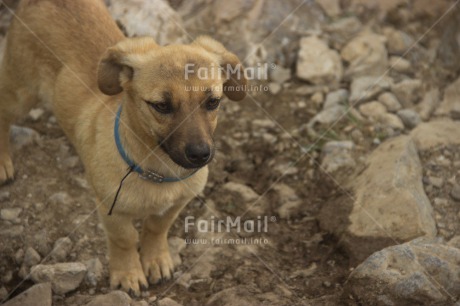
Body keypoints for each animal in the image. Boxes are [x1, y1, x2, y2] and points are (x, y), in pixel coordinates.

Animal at [0, 0, 246, 296]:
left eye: (213, 102)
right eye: (161, 106)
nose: (200, 155)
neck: (157, 170)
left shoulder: (179, 202)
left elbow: (157, 227)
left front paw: (156, 259)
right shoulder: (111, 209)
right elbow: (125, 239)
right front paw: (128, 273)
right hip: (20, 93)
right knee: (2, 114)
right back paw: (2, 162)